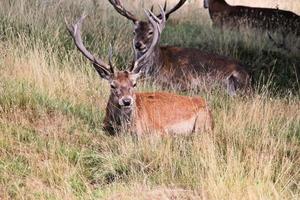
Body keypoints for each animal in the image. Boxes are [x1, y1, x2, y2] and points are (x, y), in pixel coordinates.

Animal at [65, 9, 213, 136]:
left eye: (134, 84)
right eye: (112, 85)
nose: (126, 101)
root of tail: (205, 103)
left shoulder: (160, 130)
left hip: (202, 123)